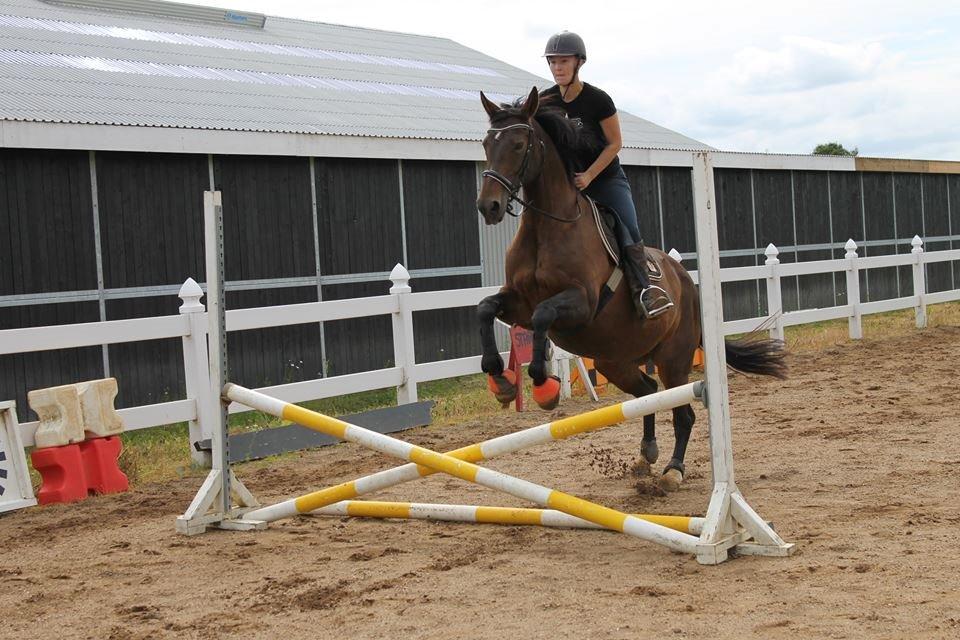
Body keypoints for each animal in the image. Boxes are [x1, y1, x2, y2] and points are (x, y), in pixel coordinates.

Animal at [474, 87, 788, 492]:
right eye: (486, 143)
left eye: (517, 144)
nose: (489, 206)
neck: (548, 227)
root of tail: (689, 284)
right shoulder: (518, 305)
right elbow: (485, 308)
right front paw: (500, 380)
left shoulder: (580, 305)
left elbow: (544, 315)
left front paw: (544, 387)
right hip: (615, 360)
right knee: (647, 392)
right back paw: (645, 456)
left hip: (674, 358)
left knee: (683, 412)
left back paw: (672, 470)